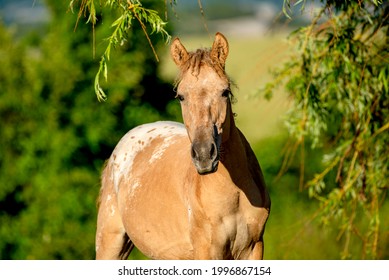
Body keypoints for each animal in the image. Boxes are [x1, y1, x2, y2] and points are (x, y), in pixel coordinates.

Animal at [94, 32, 270, 260]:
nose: (204, 156)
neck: (236, 194)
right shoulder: (207, 251)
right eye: (181, 96)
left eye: (225, 92)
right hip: (110, 243)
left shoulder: (254, 248)